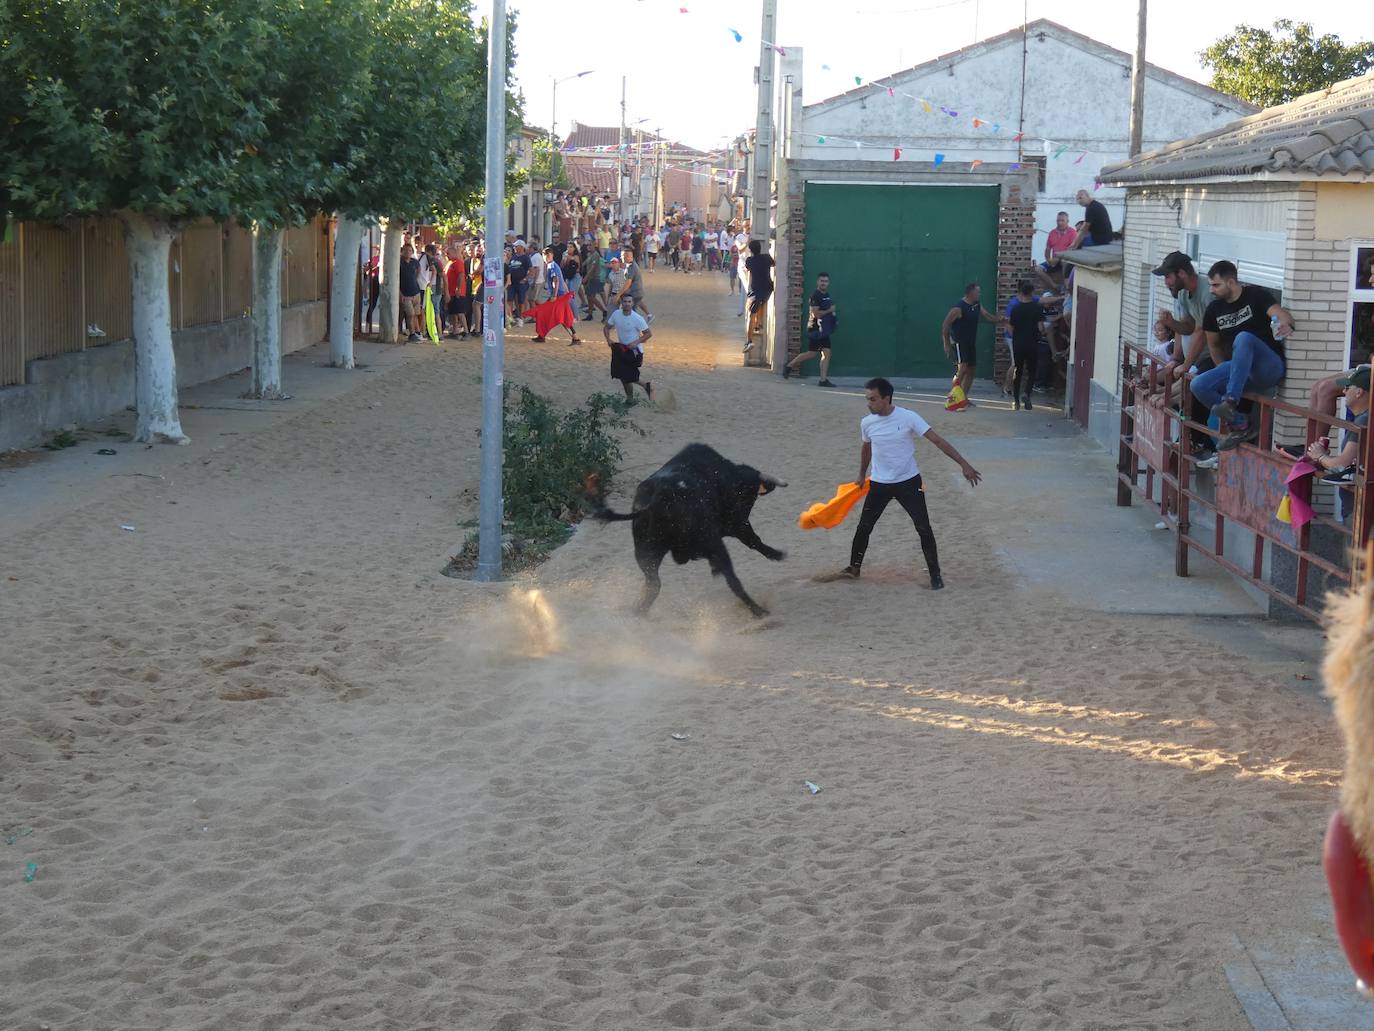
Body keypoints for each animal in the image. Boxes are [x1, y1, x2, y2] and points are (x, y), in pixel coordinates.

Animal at [588, 445, 785, 621]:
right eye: (749, 496)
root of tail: (659, 498)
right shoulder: (736, 525)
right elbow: (754, 541)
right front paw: (777, 554)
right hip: (714, 543)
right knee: (732, 580)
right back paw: (759, 611)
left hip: (646, 552)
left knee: (652, 584)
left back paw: (637, 612)